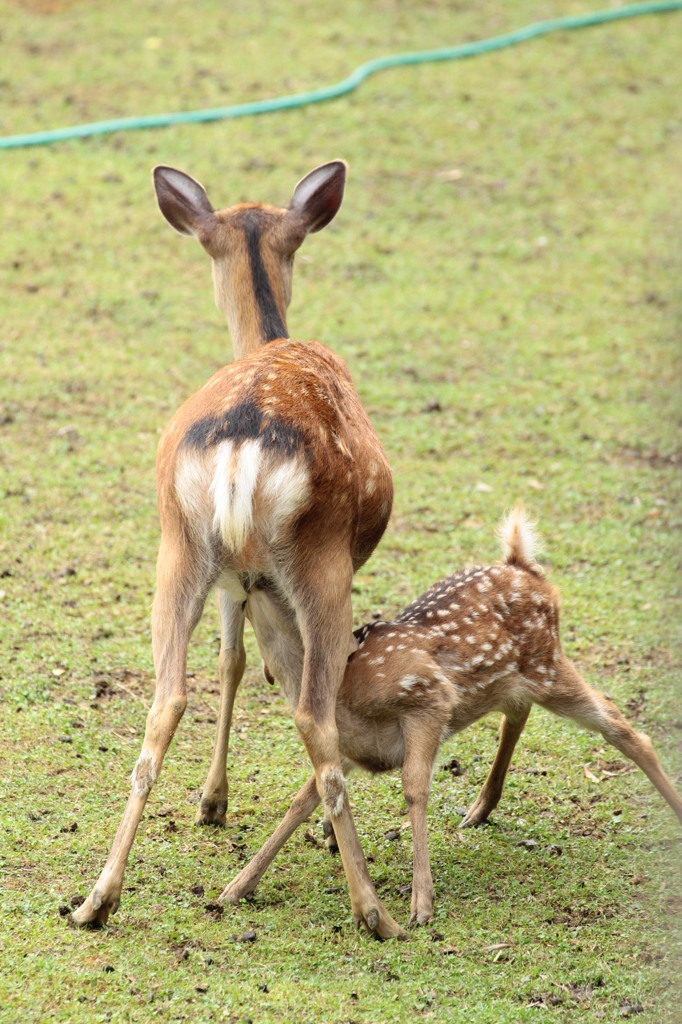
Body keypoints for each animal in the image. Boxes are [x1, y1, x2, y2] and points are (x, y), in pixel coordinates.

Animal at [70, 159, 399, 937]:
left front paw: (211, 801)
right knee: (314, 714)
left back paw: (97, 898)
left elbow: (230, 661)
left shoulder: (236, 582)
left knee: (164, 701)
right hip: (322, 566)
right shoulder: (270, 585)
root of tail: (244, 443)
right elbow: (261, 672)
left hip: (178, 549)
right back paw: (371, 908)